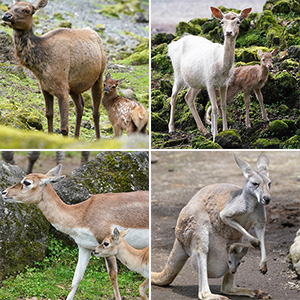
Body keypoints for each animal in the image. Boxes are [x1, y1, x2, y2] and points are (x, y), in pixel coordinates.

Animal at [1, 0, 105, 138]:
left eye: (27, 10)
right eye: (9, 7)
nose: (6, 16)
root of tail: (96, 34)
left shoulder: (62, 88)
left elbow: (64, 128)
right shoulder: (45, 88)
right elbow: (49, 115)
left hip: (99, 76)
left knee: (95, 111)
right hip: (74, 87)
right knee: (80, 106)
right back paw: (76, 137)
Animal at [1, 164, 149, 300]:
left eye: (27, 182)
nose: (4, 192)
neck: (82, 213)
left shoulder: (108, 243)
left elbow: (112, 276)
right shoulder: (85, 247)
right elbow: (76, 277)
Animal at [152, 155, 272, 300]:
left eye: (269, 184)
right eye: (255, 184)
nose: (267, 199)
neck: (253, 203)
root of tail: (178, 240)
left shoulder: (260, 218)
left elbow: (262, 235)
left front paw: (263, 265)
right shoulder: (228, 212)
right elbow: (228, 219)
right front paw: (254, 241)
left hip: (231, 246)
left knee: (227, 285)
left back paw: (256, 291)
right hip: (196, 222)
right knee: (202, 259)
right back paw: (213, 295)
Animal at [169, 6, 251, 142]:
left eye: (238, 22)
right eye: (222, 22)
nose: (229, 32)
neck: (221, 67)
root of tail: (171, 45)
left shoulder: (224, 84)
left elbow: (223, 105)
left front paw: (225, 130)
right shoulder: (209, 83)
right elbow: (215, 108)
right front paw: (215, 136)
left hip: (196, 82)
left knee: (188, 97)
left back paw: (204, 130)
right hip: (178, 74)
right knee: (173, 96)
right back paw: (171, 128)